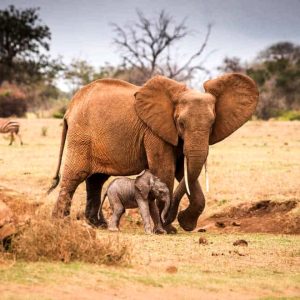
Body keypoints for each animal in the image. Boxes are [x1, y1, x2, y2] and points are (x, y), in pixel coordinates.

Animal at [49, 73, 258, 232]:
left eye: (212, 123)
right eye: (181, 123)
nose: (174, 218)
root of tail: (70, 108)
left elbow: (183, 171)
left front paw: (183, 224)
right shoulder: (154, 133)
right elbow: (166, 170)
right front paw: (166, 229)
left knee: (96, 180)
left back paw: (98, 225)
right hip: (81, 136)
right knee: (75, 176)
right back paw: (61, 224)